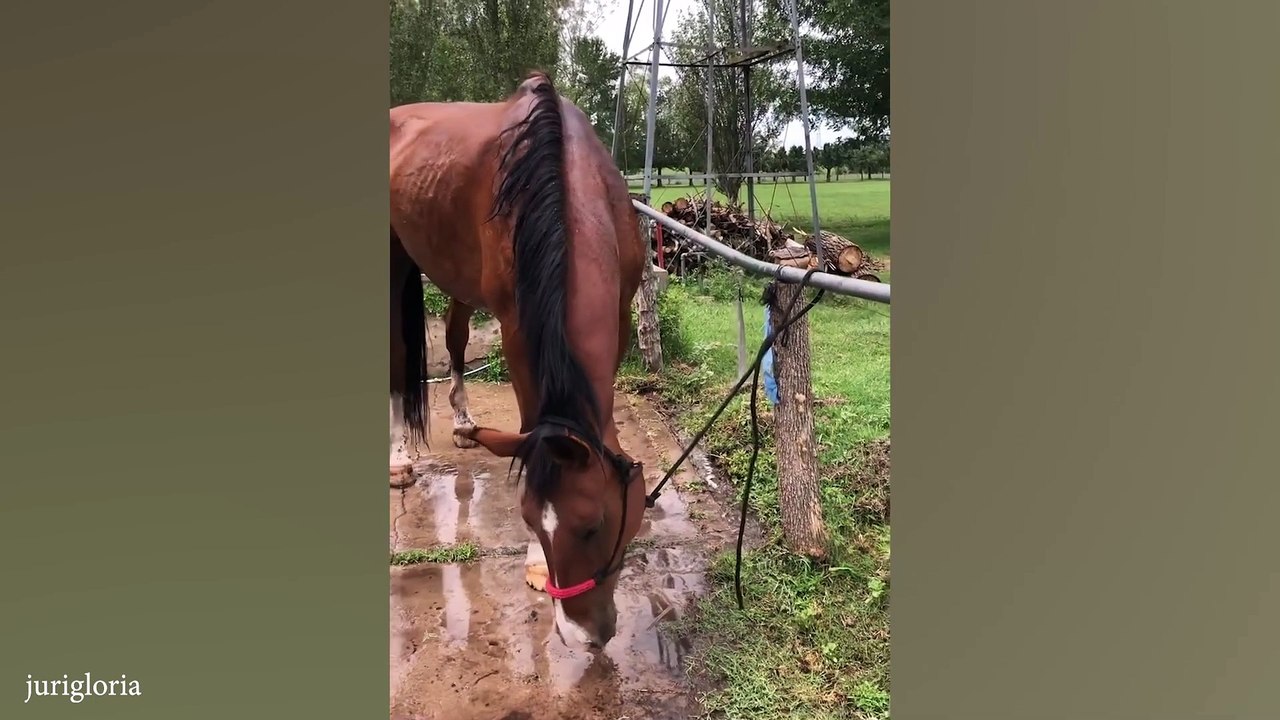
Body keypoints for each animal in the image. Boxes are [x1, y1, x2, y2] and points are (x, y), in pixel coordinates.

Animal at [389, 72, 648, 649]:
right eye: (530, 522)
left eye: (594, 526)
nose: (580, 637)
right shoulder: (515, 326)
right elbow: (534, 429)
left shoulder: (622, 313)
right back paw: (397, 458)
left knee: (456, 336)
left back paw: (463, 422)